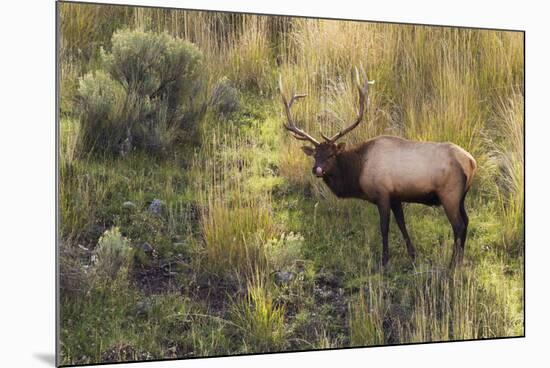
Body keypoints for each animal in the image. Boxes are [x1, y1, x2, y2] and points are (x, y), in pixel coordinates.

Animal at [280, 68, 478, 268]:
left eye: (331, 155)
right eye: (315, 155)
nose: (317, 170)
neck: (358, 173)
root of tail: (471, 162)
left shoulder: (382, 194)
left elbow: (384, 228)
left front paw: (384, 261)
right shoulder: (396, 196)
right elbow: (402, 224)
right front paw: (412, 255)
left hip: (449, 194)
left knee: (458, 225)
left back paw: (453, 264)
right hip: (461, 196)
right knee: (466, 221)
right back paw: (460, 260)